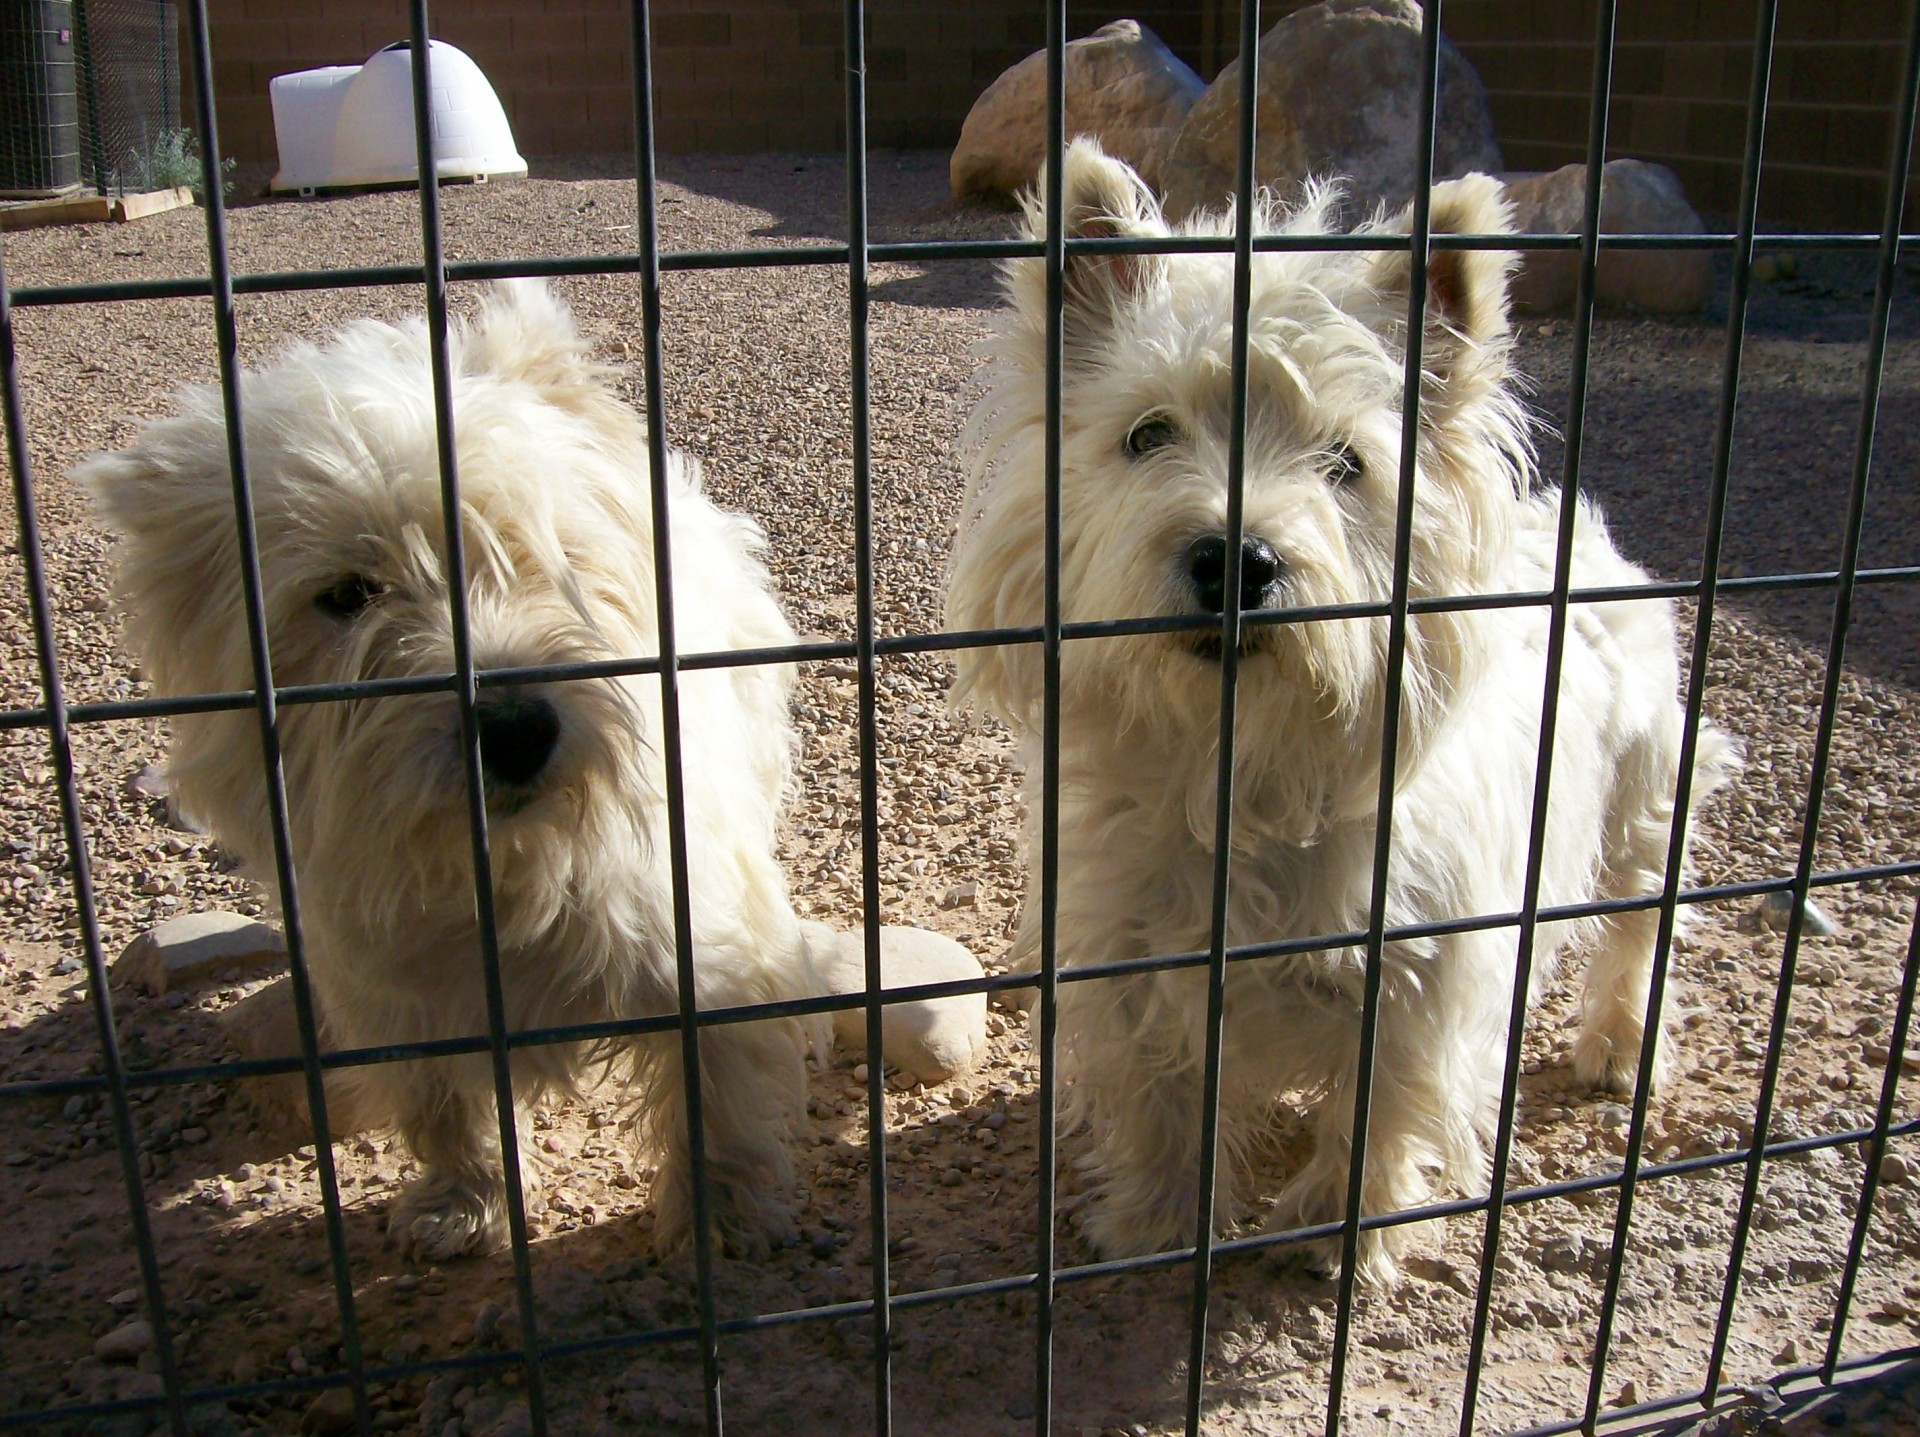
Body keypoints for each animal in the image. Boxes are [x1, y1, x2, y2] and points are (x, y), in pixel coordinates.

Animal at [84, 280, 817, 1260]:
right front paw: (465, 1202)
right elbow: (446, 1105)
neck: (501, 862)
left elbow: (717, 1080)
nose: (516, 730)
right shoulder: (404, 1001)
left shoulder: (694, 941)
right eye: (346, 594)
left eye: (550, 554)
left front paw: (726, 1212)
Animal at [948, 143, 1743, 1283]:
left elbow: (1379, 1108)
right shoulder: (1132, 955)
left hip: (1642, 796)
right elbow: (1161, 1102)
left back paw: (1620, 1046)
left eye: (1346, 464)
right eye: (1147, 433)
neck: (1243, 766)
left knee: (1643, 919)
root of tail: (1584, 535)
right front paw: (1153, 1223)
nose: (1236, 558)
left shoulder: (1419, 980)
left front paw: (1337, 1229)